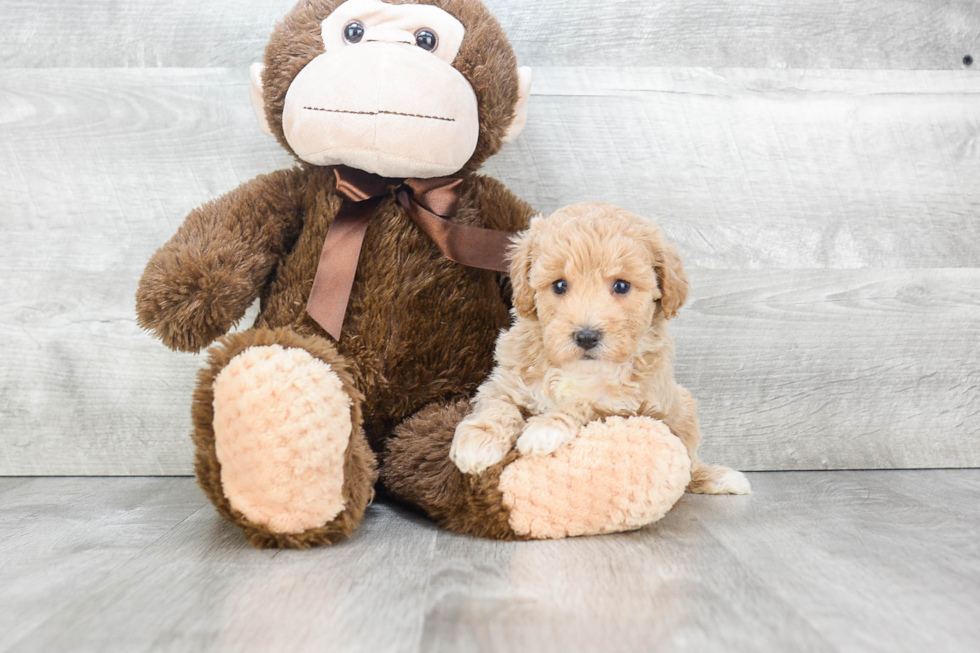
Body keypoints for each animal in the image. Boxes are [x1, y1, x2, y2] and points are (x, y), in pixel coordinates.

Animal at [452, 201, 752, 492]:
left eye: (621, 286)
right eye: (559, 285)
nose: (586, 336)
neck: (580, 370)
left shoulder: (631, 405)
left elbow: (586, 403)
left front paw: (546, 428)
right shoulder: (505, 381)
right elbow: (497, 405)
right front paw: (477, 441)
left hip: (685, 411)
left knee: (690, 466)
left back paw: (717, 478)